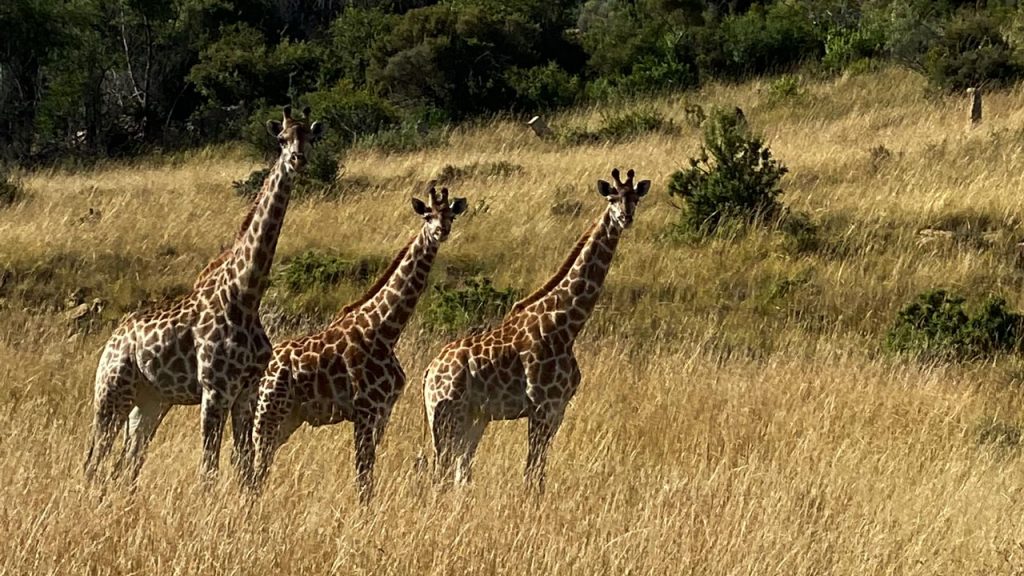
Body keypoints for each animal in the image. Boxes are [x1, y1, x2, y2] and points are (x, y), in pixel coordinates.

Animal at [84, 105, 324, 486]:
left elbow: (244, 465)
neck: (246, 294)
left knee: (128, 461)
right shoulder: (214, 390)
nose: (297, 160)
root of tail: (112, 340)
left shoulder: (245, 392)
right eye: (282, 138)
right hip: (111, 392)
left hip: (151, 401)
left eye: (310, 138)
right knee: (94, 457)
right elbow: (209, 468)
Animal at [250, 183, 467, 503]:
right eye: (427, 215)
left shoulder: (382, 413)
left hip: (288, 418)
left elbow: (367, 474)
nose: (442, 230)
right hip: (269, 411)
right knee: (256, 466)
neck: (386, 330)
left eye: (450, 214)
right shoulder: (365, 410)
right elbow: (363, 476)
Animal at [422, 168, 650, 492]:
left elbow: (539, 470)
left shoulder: (558, 409)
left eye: (635, 198)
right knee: (440, 469)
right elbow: (532, 472)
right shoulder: (542, 406)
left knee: (459, 470)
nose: (625, 217)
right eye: (612, 197)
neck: (567, 325)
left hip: (473, 416)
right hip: (444, 413)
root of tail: (429, 371)